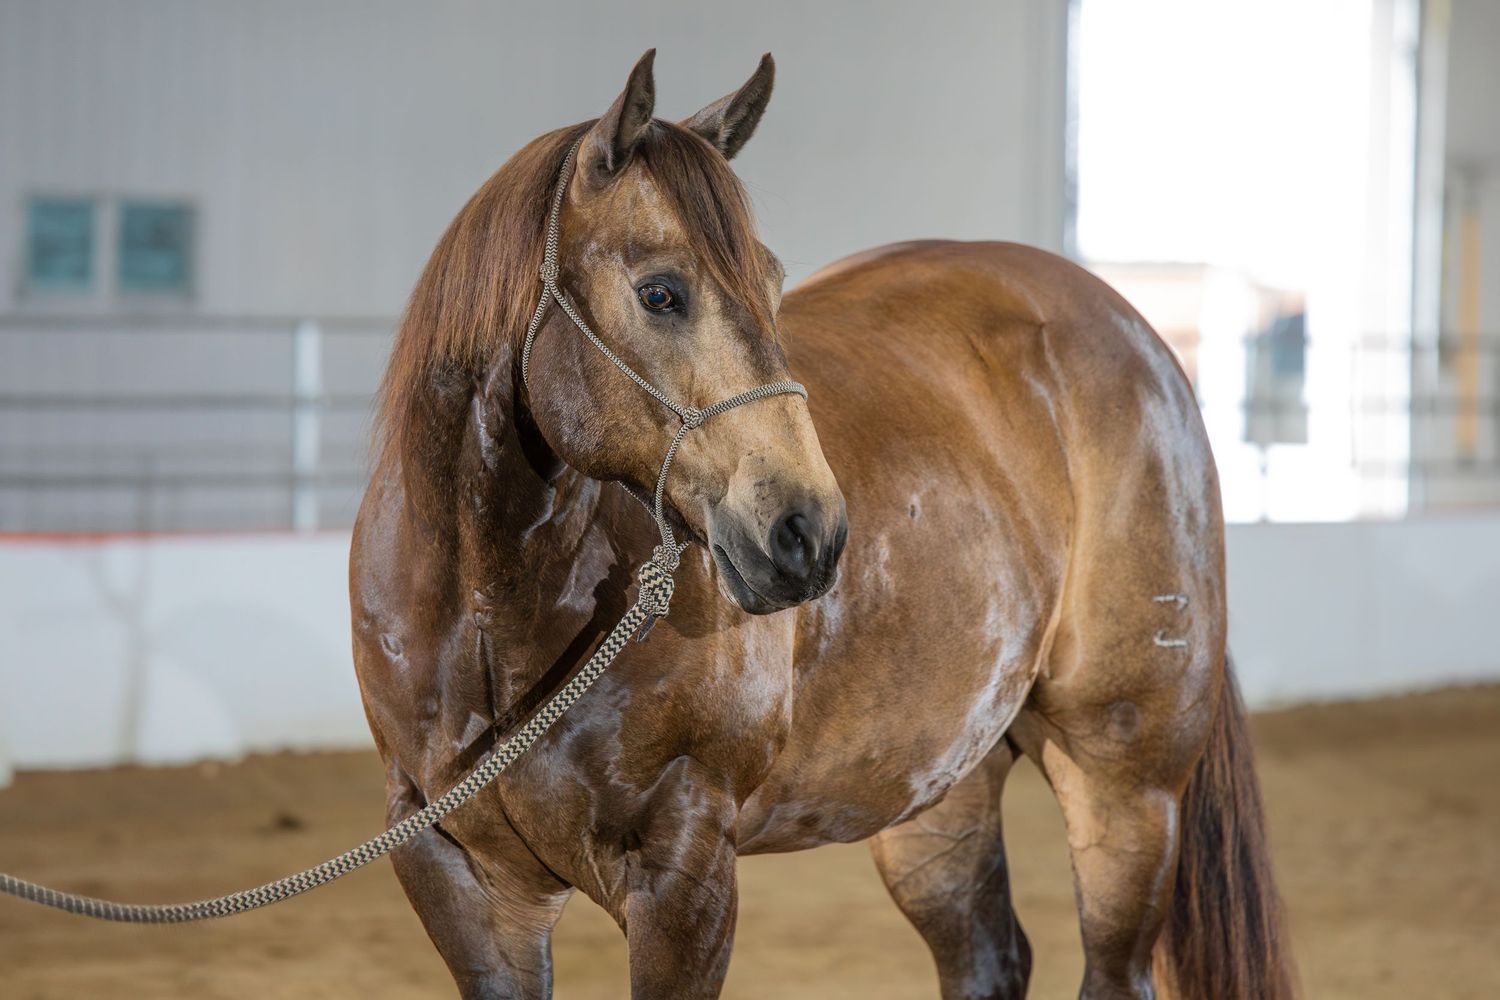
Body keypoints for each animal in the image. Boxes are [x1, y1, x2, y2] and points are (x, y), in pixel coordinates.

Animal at [349, 50, 1294, 1000]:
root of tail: (1137, 335)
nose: (807, 533)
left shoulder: (685, 869)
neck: (494, 608)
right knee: (987, 956)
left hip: (1125, 787)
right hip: (936, 792)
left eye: (771, 284)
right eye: (660, 293)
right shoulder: (462, 881)